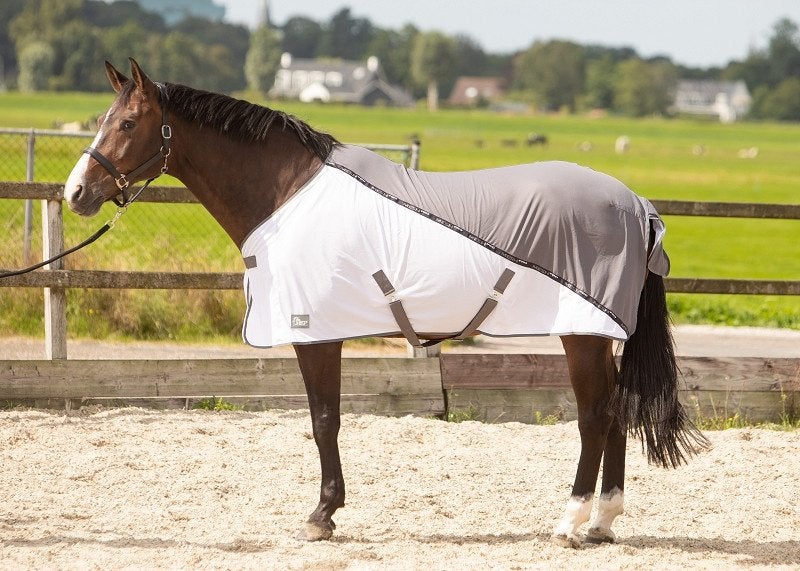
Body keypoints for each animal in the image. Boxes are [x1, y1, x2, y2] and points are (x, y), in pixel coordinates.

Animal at [64, 59, 709, 547]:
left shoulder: (315, 332)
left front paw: (322, 515)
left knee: (596, 416)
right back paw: (602, 523)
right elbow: (325, 421)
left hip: (581, 333)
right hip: (598, 335)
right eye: (102, 120)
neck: (287, 195)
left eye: (127, 123)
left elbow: (324, 421)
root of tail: (635, 205)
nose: (75, 193)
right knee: (618, 412)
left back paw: (570, 522)